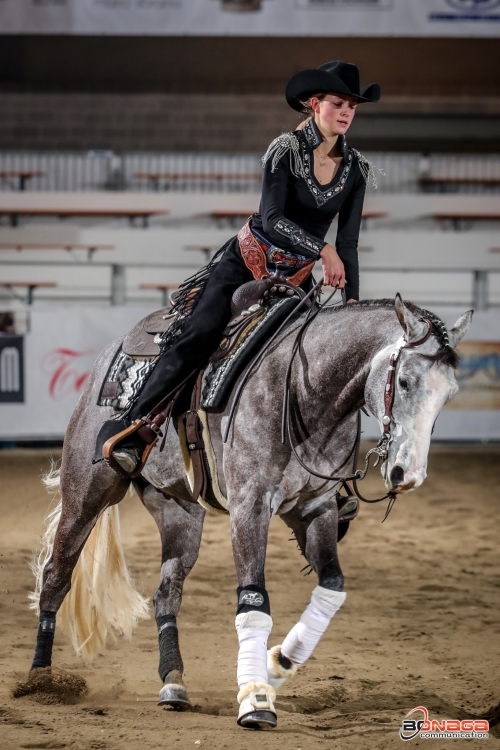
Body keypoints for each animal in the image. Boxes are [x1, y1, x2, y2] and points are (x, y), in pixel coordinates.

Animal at [28, 296, 472, 732]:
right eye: (404, 381)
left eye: (449, 394)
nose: (407, 475)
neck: (301, 389)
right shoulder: (250, 506)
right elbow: (254, 603)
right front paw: (256, 699)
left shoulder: (315, 508)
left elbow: (331, 588)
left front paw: (279, 664)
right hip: (86, 492)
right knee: (56, 575)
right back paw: (40, 679)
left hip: (179, 512)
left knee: (166, 594)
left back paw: (173, 683)